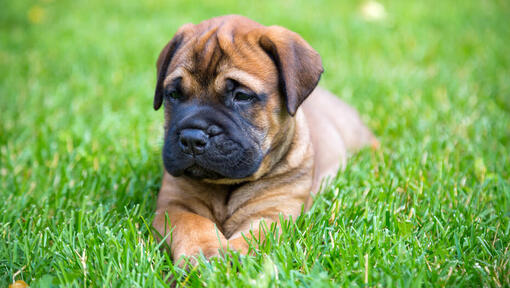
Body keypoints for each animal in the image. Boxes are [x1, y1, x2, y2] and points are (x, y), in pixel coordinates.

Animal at [150, 15, 374, 264]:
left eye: (241, 96)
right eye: (174, 94)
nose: (192, 138)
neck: (225, 186)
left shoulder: (276, 210)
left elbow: (259, 235)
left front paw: (235, 256)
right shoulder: (174, 205)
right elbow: (191, 223)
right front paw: (204, 252)